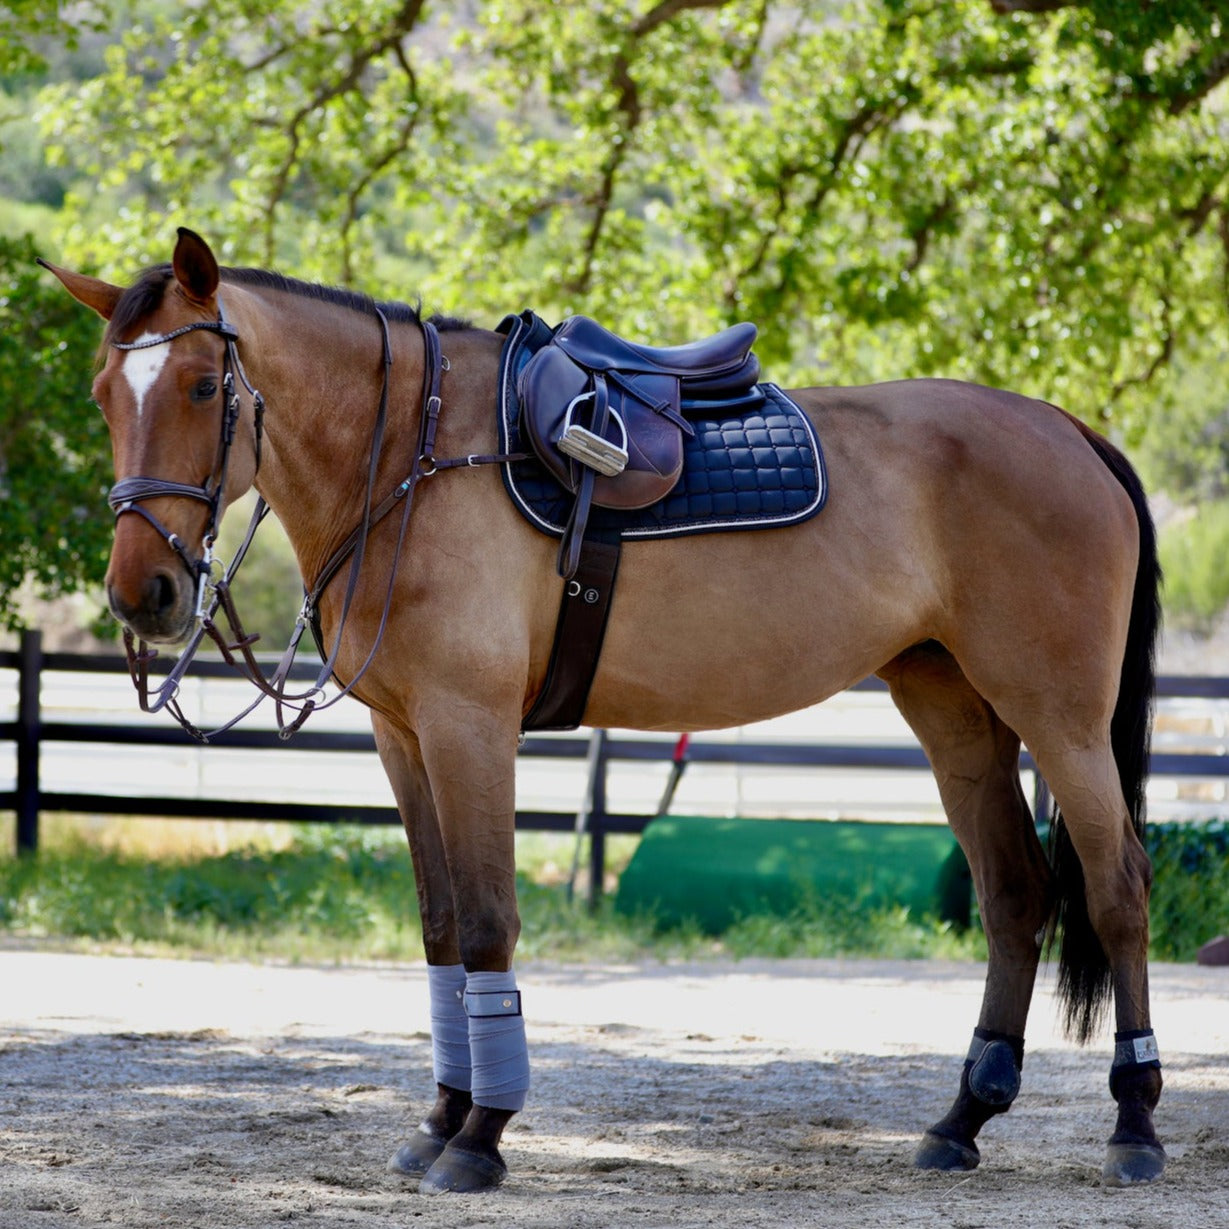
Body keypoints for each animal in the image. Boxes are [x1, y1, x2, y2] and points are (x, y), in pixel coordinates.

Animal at [43, 228, 1165, 1189]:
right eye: (103, 394)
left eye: (202, 385)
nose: (141, 591)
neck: (410, 457)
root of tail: (1070, 431)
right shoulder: (403, 735)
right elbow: (440, 925)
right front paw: (440, 1119)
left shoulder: (468, 726)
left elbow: (487, 922)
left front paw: (481, 1137)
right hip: (954, 711)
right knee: (1014, 893)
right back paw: (961, 1118)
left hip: (1059, 718)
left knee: (1114, 887)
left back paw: (1134, 1120)